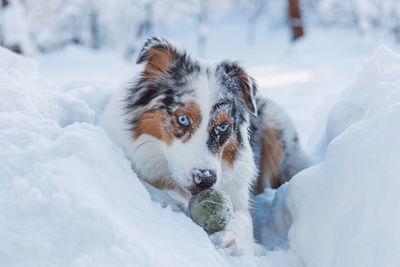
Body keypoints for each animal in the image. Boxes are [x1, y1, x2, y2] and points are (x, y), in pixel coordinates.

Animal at [101, 36, 308, 254]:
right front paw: (169, 200)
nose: (205, 179)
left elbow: (243, 220)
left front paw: (229, 237)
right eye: (183, 119)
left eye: (223, 126)